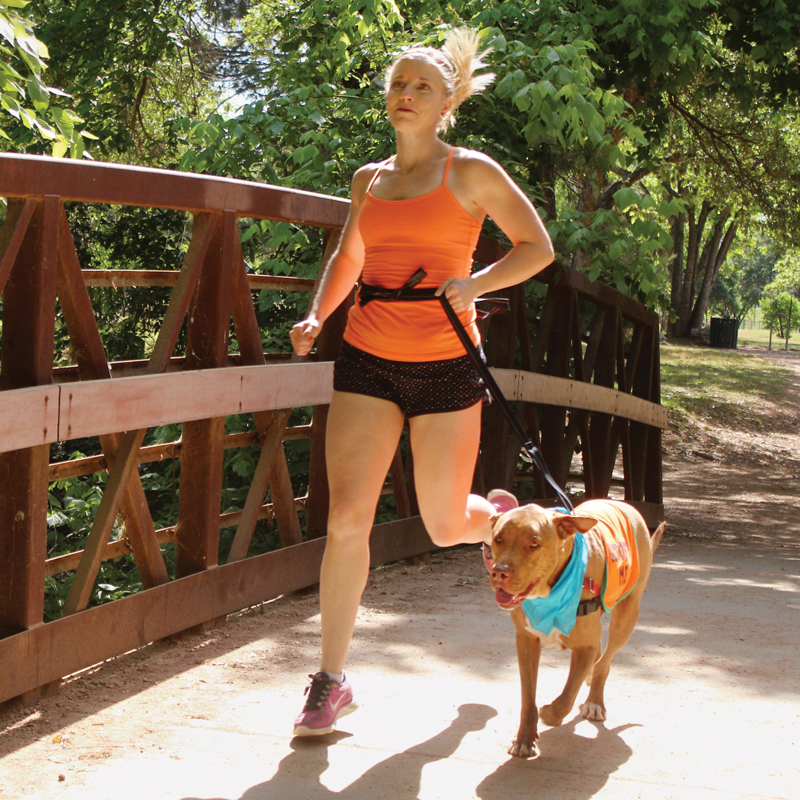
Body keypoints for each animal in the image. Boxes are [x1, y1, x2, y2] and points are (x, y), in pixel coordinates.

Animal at [484, 500, 664, 756]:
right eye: (498, 538)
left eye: (534, 543)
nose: (499, 572)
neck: (550, 594)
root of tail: (622, 503)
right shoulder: (526, 642)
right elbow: (528, 697)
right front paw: (524, 738)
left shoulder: (584, 647)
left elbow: (566, 698)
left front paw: (548, 713)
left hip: (626, 617)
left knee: (604, 662)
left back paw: (594, 701)